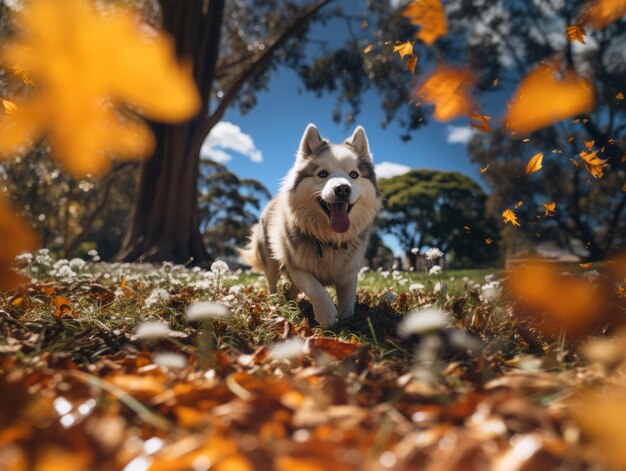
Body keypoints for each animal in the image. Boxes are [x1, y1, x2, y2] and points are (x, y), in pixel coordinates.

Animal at [239, 124, 380, 328]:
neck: (329, 239)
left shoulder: (349, 272)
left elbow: (348, 301)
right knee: (272, 283)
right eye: (322, 174)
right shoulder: (295, 265)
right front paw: (327, 314)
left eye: (354, 175)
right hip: (270, 261)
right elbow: (315, 288)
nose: (342, 189)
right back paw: (276, 303)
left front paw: (347, 322)